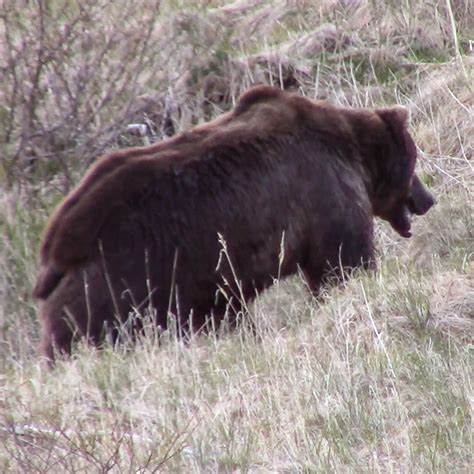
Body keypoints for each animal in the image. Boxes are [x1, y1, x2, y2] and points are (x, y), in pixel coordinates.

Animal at [32, 85, 434, 360]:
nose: (428, 198)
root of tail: (54, 253)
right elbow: (342, 263)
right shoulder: (323, 192)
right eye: (414, 160)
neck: (353, 151)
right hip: (116, 286)